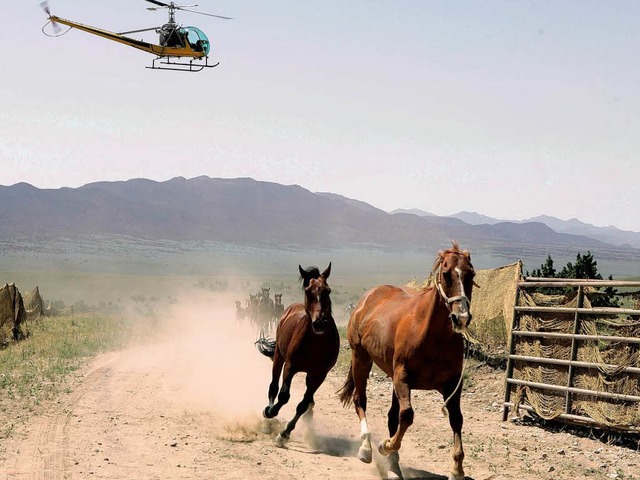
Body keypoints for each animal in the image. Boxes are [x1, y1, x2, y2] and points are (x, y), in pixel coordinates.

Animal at [254, 262, 338, 446]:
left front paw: (285, 433)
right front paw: (270, 412)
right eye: (308, 290)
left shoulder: (319, 375)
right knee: (273, 386)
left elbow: (303, 404)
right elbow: (284, 395)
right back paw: (268, 415)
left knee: (308, 400)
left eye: (328, 290)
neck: (316, 342)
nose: (320, 323)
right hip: (279, 357)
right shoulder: (290, 366)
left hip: (309, 374)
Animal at [340, 244, 476, 480]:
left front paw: (457, 469)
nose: (461, 318)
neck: (431, 335)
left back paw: (394, 467)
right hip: (361, 360)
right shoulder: (403, 377)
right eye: (446, 274)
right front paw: (385, 446)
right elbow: (407, 416)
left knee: (391, 417)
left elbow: (456, 419)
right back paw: (366, 448)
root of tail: (367, 298)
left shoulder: (452, 384)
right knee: (360, 401)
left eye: (471, 274)